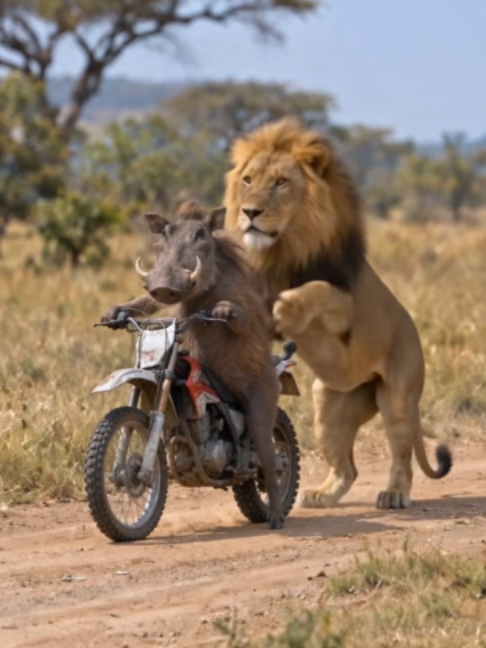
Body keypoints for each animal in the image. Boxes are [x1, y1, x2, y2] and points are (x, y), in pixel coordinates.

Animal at [223, 117, 452, 510]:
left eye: (280, 183)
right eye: (248, 180)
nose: (249, 212)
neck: (283, 249)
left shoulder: (344, 301)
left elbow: (318, 290)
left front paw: (287, 308)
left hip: (397, 397)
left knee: (402, 456)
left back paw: (394, 494)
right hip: (327, 405)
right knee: (348, 468)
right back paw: (321, 495)